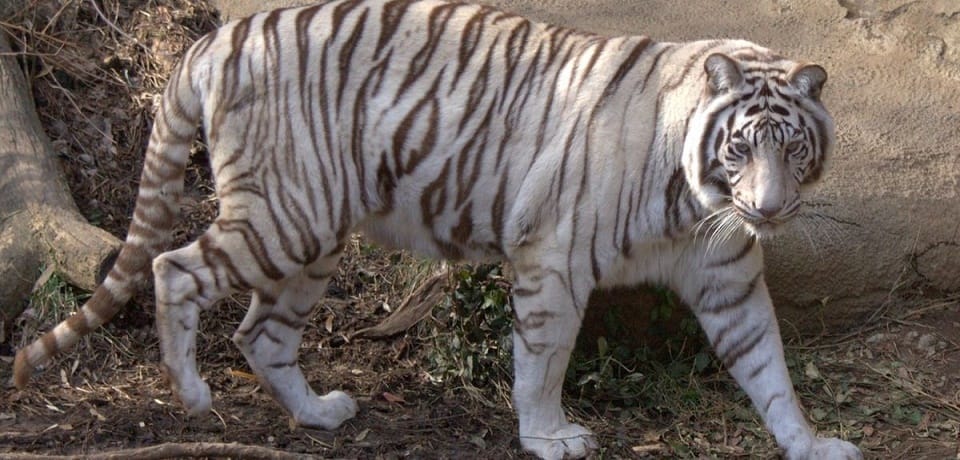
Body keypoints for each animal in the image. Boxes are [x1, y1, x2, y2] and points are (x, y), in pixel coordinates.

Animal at [13, 0, 862, 458]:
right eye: (740, 147)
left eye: (793, 148)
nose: (770, 210)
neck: (699, 202)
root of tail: (218, 36)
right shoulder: (551, 258)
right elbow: (543, 361)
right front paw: (548, 436)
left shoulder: (726, 277)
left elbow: (767, 366)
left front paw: (809, 442)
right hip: (284, 215)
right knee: (174, 270)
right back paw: (190, 394)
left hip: (315, 235)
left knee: (261, 333)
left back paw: (318, 413)